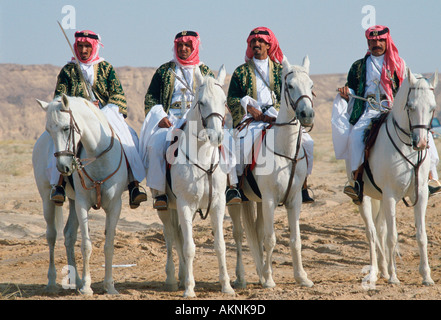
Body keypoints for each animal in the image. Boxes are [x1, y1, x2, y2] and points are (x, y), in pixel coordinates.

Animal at [32, 95, 125, 296]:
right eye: (49, 130)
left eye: (66, 128)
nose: (63, 167)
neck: (98, 156)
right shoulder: (83, 204)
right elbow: (86, 245)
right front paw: (87, 287)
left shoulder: (115, 205)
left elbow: (109, 244)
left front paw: (110, 286)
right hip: (47, 198)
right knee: (52, 235)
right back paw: (52, 282)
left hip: (73, 201)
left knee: (68, 235)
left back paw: (76, 280)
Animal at [156, 65, 235, 298]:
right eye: (201, 102)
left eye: (224, 101)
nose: (217, 136)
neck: (202, 158)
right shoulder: (185, 205)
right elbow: (189, 247)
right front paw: (190, 289)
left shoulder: (218, 204)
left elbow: (220, 245)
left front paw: (226, 285)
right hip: (166, 209)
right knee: (171, 237)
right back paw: (173, 279)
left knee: (179, 237)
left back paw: (182, 276)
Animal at [229, 56, 314, 288]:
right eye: (290, 85)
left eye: (311, 85)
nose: (307, 115)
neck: (285, 152)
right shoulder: (269, 200)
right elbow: (270, 239)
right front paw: (268, 279)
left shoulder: (294, 200)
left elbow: (295, 240)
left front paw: (301, 276)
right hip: (237, 203)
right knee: (239, 234)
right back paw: (242, 277)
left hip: (256, 201)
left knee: (256, 231)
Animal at [350, 69, 436, 288]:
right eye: (410, 106)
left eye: (432, 108)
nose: (421, 143)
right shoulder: (390, 196)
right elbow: (392, 236)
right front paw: (394, 276)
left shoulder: (420, 194)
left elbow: (421, 235)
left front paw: (426, 276)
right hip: (364, 198)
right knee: (372, 232)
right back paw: (375, 272)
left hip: (380, 199)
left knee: (379, 229)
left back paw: (382, 269)